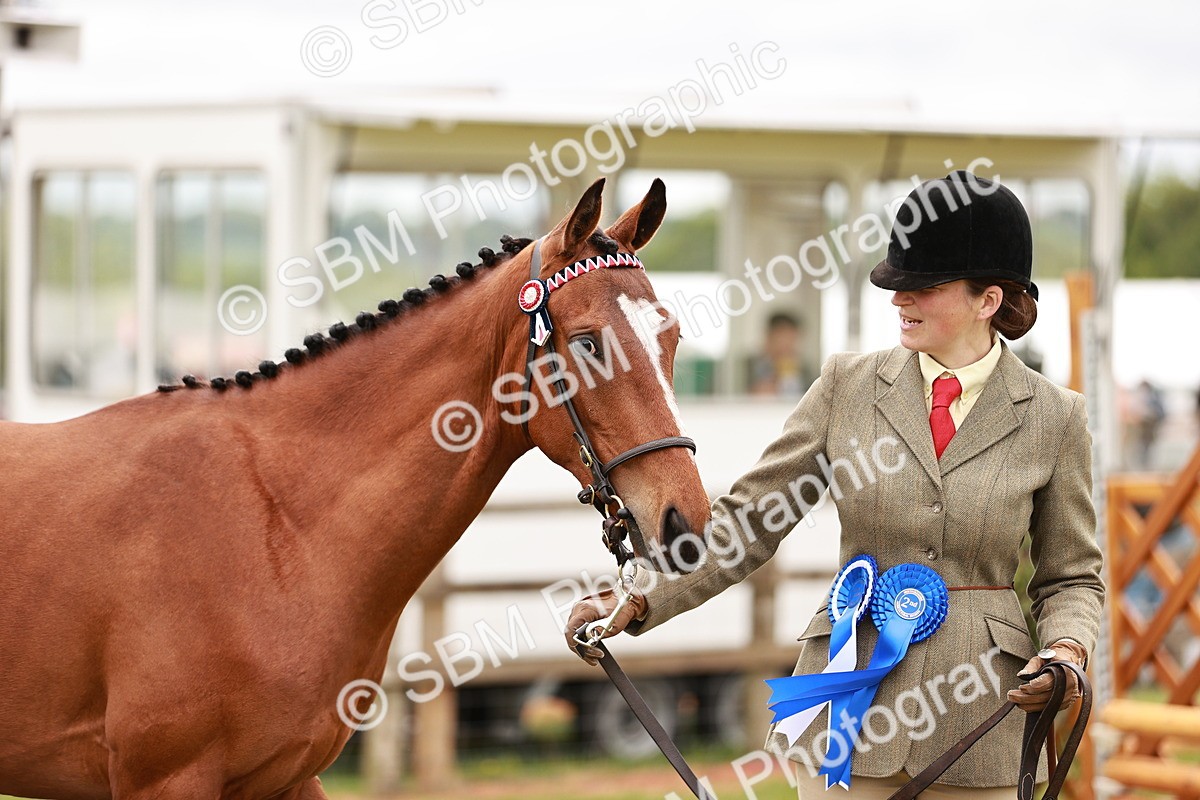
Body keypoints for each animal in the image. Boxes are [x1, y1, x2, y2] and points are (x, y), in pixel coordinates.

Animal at [0, 178, 711, 800]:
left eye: (672, 337)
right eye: (588, 344)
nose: (686, 527)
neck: (279, 524)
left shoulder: (288, 779)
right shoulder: (167, 781)